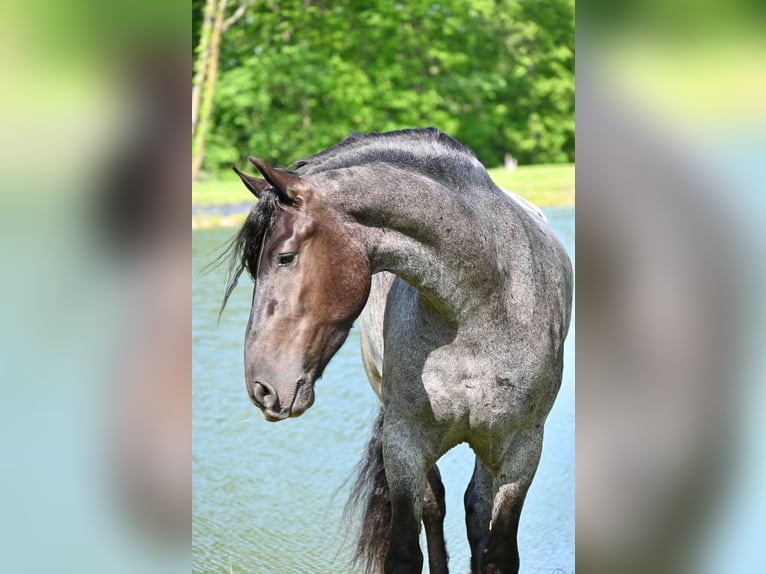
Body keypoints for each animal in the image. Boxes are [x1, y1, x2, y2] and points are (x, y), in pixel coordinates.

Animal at [225, 128, 572, 572]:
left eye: (285, 258)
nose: (262, 387)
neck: (482, 303)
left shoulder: (522, 451)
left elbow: (499, 554)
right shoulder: (404, 446)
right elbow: (406, 550)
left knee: (476, 509)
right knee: (436, 506)